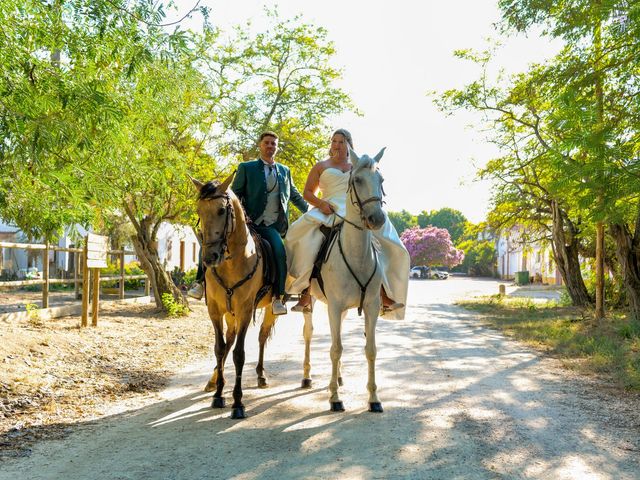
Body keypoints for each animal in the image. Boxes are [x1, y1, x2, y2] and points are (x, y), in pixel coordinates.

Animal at [191, 173, 278, 420]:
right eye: (199, 210)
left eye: (222, 210)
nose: (209, 257)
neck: (232, 262)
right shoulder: (215, 310)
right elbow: (220, 348)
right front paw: (218, 394)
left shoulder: (245, 310)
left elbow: (239, 354)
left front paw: (238, 403)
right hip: (229, 314)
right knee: (229, 340)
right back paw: (213, 381)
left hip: (269, 308)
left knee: (261, 337)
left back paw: (260, 374)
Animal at [300, 147, 384, 412]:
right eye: (357, 180)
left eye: (381, 180)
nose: (377, 219)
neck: (356, 255)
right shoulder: (335, 307)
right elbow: (335, 349)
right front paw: (335, 398)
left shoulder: (371, 306)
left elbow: (370, 350)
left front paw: (374, 398)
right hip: (312, 302)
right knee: (309, 333)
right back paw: (306, 376)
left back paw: (337, 377)